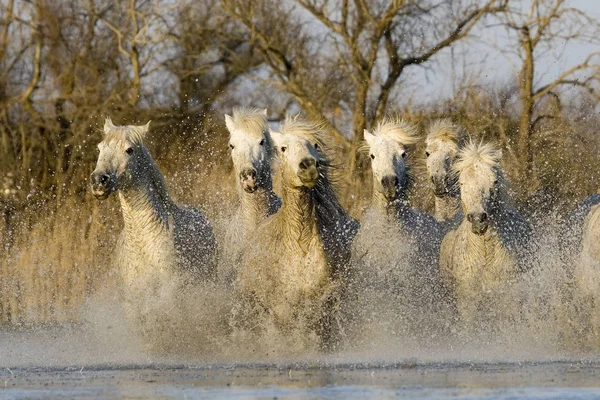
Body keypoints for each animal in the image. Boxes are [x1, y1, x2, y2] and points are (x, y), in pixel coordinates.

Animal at [90, 119, 217, 322]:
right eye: (100, 147)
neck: (143, 240)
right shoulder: (133, 304)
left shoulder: (170, 295)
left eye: (129, 150)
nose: (98, 181)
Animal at [233, 114, 356, 352]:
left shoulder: (322, 304)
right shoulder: (283, 308)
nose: (308, 166)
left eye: (315, 145)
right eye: (283, 148)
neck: (300, 245)